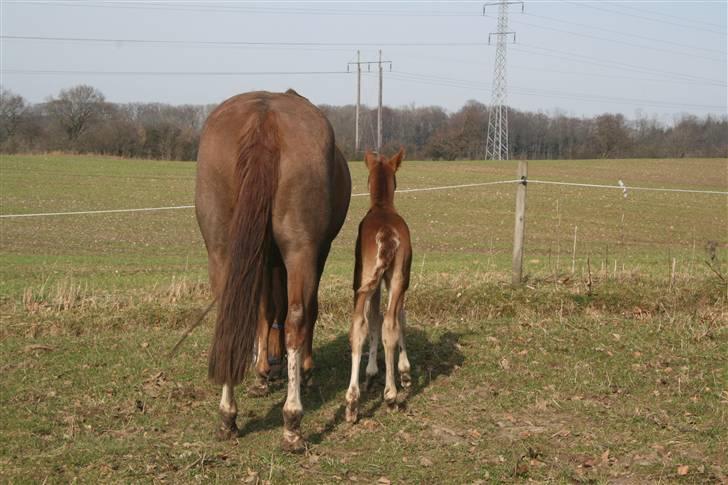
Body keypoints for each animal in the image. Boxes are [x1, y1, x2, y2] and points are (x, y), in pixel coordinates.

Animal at [195, 90, 352, 450]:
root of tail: (263, 117)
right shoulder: (317, 251)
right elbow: (305, 310)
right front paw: (300, 370)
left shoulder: (262, 259)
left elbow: (263, 311)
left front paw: (263, 371)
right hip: (301, 249)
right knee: (296, 316)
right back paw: (292, 420)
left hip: (222, 248)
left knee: (230, 316)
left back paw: (228, 415)